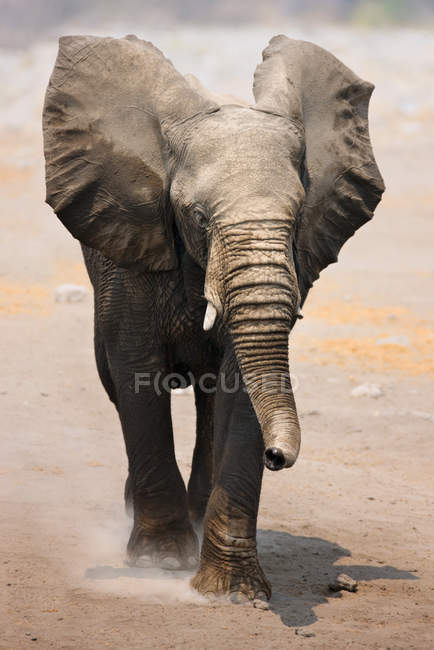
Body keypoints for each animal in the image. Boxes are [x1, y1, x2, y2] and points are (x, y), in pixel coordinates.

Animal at [43, 34, 384, 604]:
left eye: (297, 217)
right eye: (198, 217)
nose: (277, 456)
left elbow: (241, 383)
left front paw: (233, 593)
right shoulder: (131, 259)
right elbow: (136, 375)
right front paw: (158, 563)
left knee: (208, 401)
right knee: (115, 382)